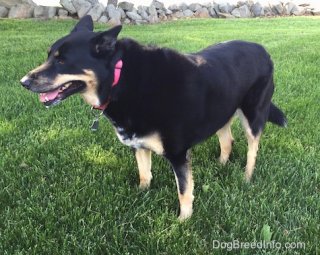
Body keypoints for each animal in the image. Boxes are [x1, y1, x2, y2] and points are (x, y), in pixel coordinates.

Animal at [20, 15, 284, 219]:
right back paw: (221, 164)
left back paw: (246, 177)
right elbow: (144, 174)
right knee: (227, 140)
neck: (119, 79)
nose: (23, 82)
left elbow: (184, 191)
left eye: (62, 60)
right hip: (221, 110)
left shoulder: (178, 154)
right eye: (49, 56)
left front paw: (183, 222)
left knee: (252, 149)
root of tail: (263, 50)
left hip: (253, 115)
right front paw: (141, 195)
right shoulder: (138, 144)